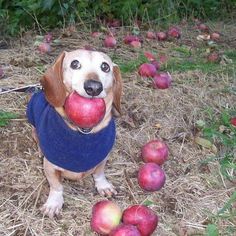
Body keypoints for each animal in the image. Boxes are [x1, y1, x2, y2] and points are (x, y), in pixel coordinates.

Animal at [27, 49, 122, 218]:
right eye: (75, 64)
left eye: (105, 67)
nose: (93, 87)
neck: (82, 136)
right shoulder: (50, 167)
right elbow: (56, 186)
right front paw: (54, 203)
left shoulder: (102, 158)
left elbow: (99, 173)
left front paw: (103, 185)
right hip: (33, 125)